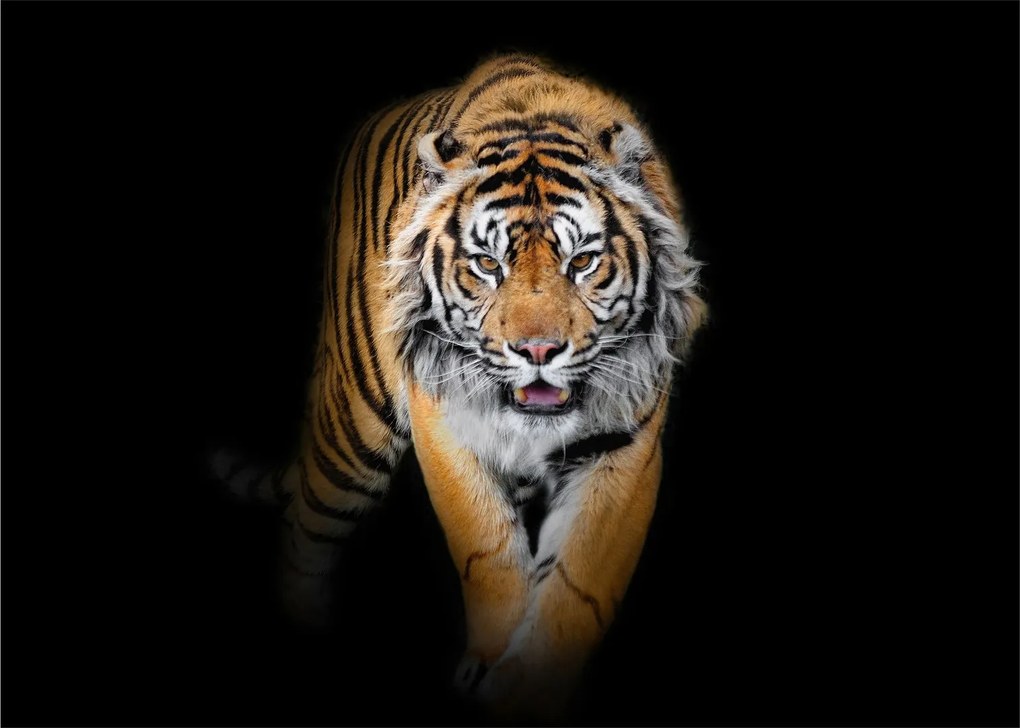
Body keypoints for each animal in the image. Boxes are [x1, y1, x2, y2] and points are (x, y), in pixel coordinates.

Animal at [211, 53, 706, 719]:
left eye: (582, 261)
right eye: (487, 265)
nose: (538, 351)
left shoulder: (624, 443)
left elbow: (578, 585)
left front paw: (525, 688)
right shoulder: (443, 420)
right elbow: (488, 551)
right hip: (354, 429)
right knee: (305, 533)